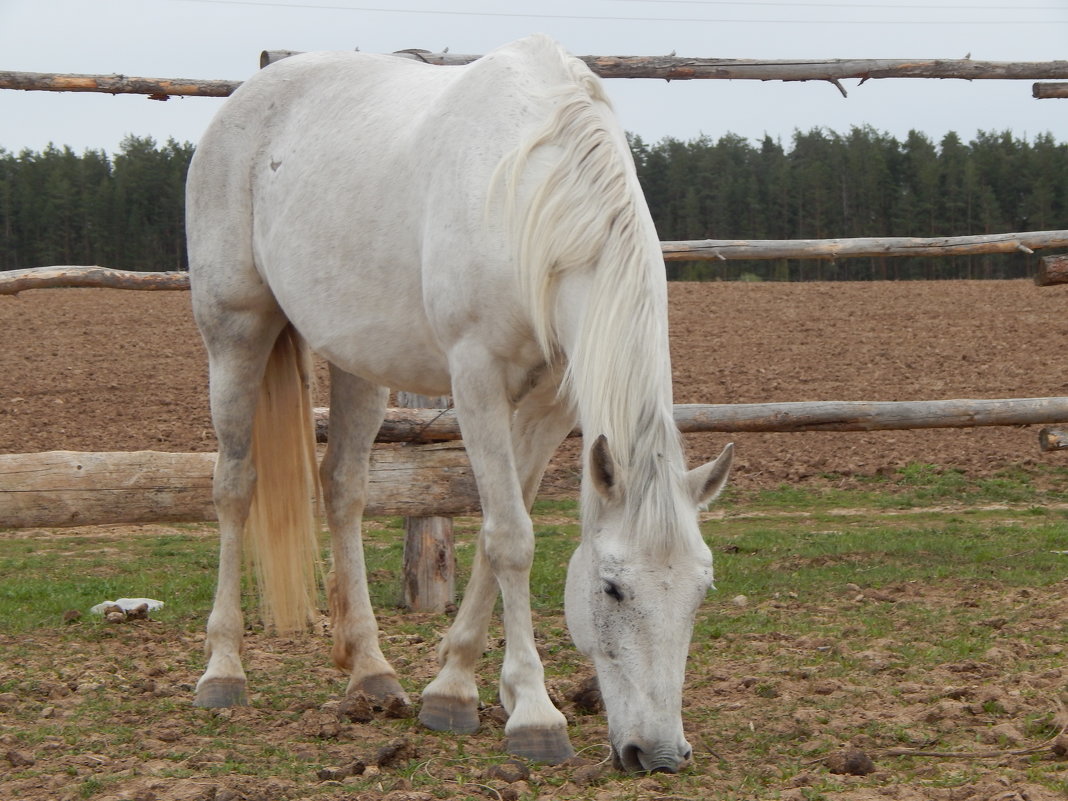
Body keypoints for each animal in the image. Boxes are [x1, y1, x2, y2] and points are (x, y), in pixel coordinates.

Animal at [185, 34, 734, 773]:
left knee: (344, 490)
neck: (533, 201)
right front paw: (534, 715)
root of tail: (243, 102)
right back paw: (223, 671)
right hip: (236, 336)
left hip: (360, 362)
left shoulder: (550, 407)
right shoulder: (476, 380)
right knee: (234, 487)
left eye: (701, 589)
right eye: (613, 587)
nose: (660, 754)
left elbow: (500, 532)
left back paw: (371, 672)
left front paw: (453, 688)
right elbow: (510, 540)